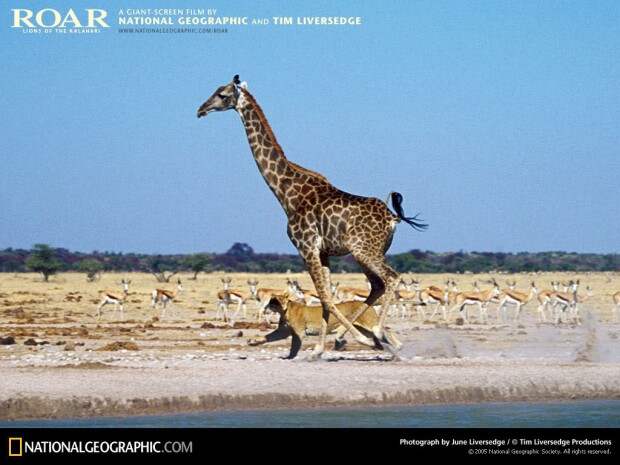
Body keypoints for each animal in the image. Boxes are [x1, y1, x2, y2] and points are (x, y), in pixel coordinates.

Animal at [199, 76, 426, 358]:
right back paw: (350, 337)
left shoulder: (305, 247)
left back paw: (377, 333)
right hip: (368, 252)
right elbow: (326, 295)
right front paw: (319, 349)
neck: (286, 193)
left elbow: (326, 296)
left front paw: (355, 340)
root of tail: (393, 218)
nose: (201, 109)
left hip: (364, 250)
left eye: (221, 94)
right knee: (377, 285)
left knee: (391, 278)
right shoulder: (323, 251)